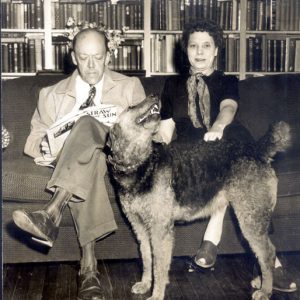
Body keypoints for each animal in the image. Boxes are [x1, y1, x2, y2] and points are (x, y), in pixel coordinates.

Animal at [107, 94, 290, 300]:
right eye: (131, 107)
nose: (155, 96)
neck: (141, 165)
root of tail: (258, 150)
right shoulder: (139, 226)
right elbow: (147, 258)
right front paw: (145, 284)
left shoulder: (160, 228)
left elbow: (159, 266)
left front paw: (157, 294)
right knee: (261, 253)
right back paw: (260, 281)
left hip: (251, 217)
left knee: (268, 253)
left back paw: (265, 291)